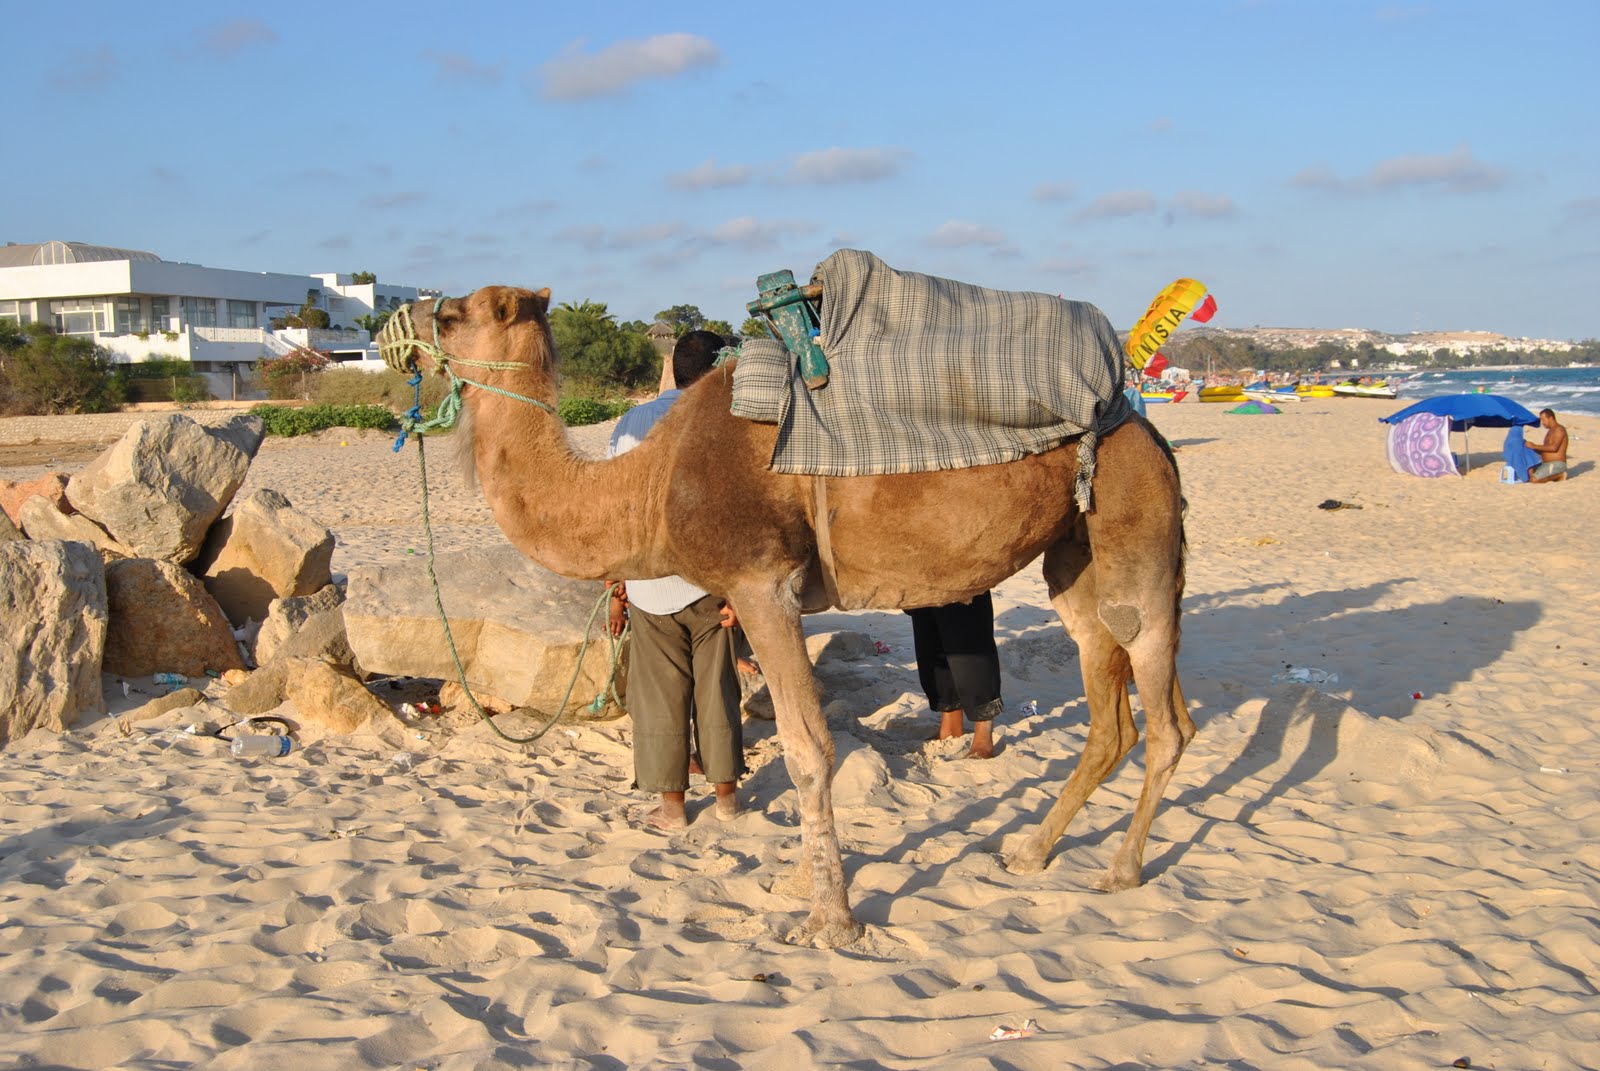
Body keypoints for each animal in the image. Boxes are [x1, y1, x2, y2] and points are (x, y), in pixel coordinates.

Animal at [383, 286, 1192, 948]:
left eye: (452, 314)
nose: (396, 320)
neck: (650, 482)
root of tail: (1143, 424)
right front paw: (801, 881)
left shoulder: (761, 580)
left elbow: (808, 749)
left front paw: (830, 920)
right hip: (1076, 555)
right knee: (1112, 707)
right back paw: (1029, 851)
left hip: (1135, 528)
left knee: (1165, 715)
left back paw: (1120, 869)